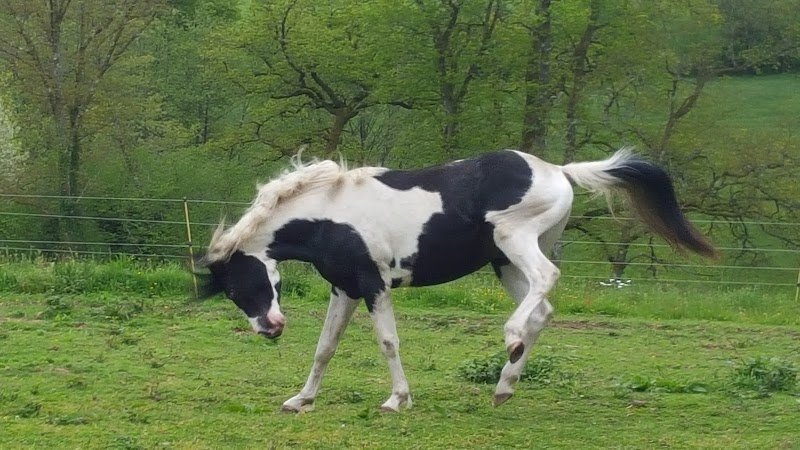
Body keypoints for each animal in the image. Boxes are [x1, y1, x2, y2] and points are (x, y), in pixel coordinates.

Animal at [195, 149, 716, 413]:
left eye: (240, 286)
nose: (270, 329)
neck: (330, 214)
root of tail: (558, 171)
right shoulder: (344, 286)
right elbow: (325, 346)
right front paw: (301, 400)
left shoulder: (373, 283)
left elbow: (388, 342)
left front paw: (397, 400)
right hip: (505, 262)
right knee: (542, 310)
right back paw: (504, 386)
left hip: (514, 241)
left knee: (546, 281)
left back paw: (508, 342)